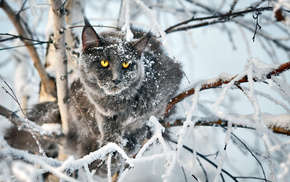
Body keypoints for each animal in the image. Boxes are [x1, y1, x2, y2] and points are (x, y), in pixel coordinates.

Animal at [5, 18, 184, 178]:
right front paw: (111, 143)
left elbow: (144, 120)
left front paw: (133, 140)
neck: (118, 102)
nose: (116, 79)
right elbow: (108, 124)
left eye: (126, 64)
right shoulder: (100, 109)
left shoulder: (168, 87)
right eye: (104, 63)